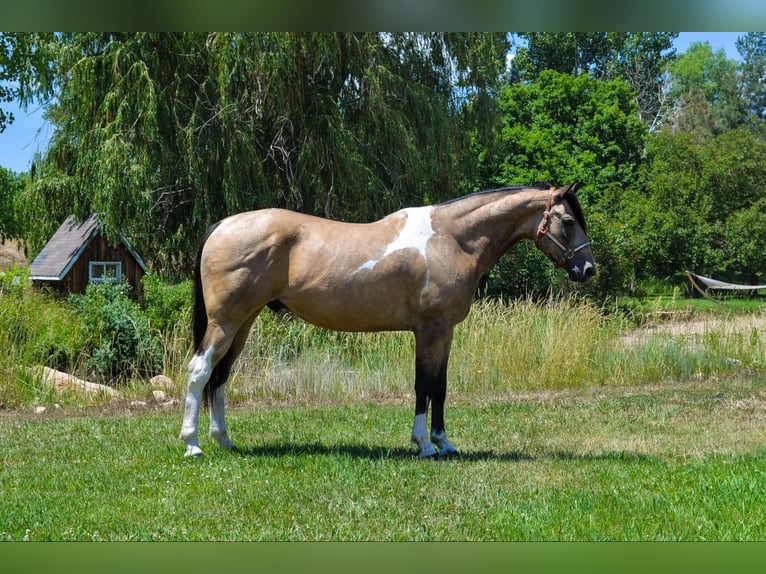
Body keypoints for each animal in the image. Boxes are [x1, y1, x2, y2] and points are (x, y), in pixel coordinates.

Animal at [180, 181, 595, 458]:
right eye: (567, 221)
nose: (588, 269)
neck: (453, 238)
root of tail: (222, 225)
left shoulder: (445, 331)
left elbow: (440, 386)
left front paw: (445, 442)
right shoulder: (430, 329)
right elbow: (423, 385)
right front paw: (424, 444)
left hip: (243, 322)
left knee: (221, 375)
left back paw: (224, 440)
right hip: (225, 321)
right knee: (200, 370)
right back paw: (192, 444)